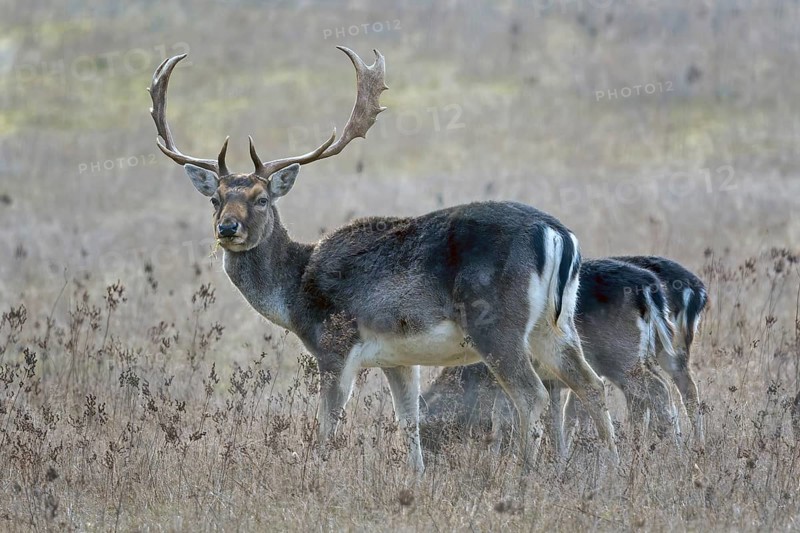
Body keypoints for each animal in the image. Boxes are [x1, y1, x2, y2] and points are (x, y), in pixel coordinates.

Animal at [148, 47, 618, 474]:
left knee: (532, 393)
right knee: (591, 385)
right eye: (215, 198)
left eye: (261, 199)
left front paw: (315, 476)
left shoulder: (334, 346)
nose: (228, 229)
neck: (296, 290)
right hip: (555, 324)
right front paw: (417, 476)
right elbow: (408, 421)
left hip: (497, 322)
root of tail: (558, 234)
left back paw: (523, 477)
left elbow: (327, 427)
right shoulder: (398, 358)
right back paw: (615, 472)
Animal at [420, 258, 683, 455]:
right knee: (656, 391)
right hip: (643, 356)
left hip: (621, 357)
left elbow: (502, 417)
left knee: (657, 389)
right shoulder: (548, 382)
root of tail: (648, 286)